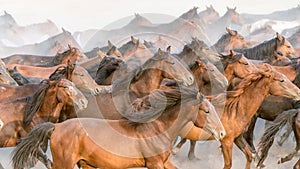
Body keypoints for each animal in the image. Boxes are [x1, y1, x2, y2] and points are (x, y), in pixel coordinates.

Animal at [11, 85, 224, 169]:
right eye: (206, 111)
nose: (222, 132)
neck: (156, 129)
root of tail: (56, 127)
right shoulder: (154, 164)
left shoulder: (163, 162)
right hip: (65, 163)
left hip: (86, 164)